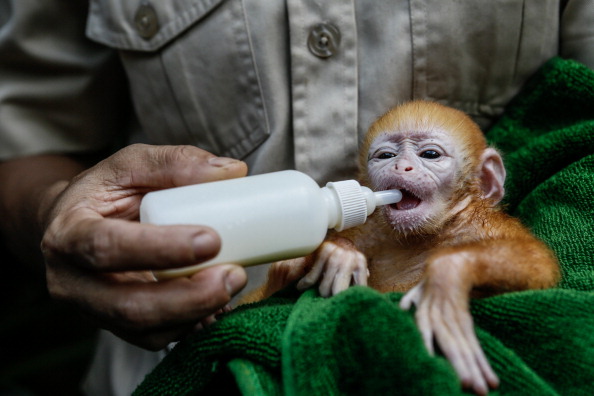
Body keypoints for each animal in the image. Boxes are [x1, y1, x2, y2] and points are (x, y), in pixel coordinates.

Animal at [251, 100, 560, 394]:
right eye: (386, 156)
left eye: (430, 155)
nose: (401, 167)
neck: (424, 236)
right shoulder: (370, 231)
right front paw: (338, 253)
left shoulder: (484, 227)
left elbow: (538, 265)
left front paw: (446, 279)